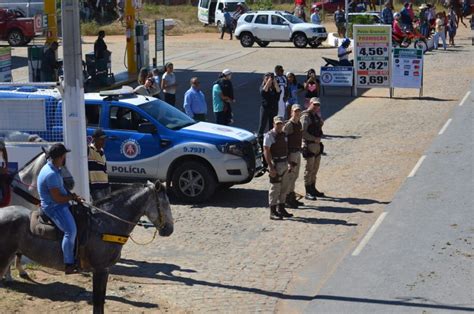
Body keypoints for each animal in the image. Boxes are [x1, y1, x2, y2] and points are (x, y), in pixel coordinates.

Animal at [0, 180, 174, 312]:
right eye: (165, 204)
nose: (169, 230)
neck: (105, 224)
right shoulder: (100, 269)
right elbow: (97, 302)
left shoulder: (105, 270)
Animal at [1, 151, 74, 280]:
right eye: (61, 164)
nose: (71, 183)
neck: (23, 189)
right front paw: (8, 275)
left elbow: (18, 251)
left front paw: (21, 271)